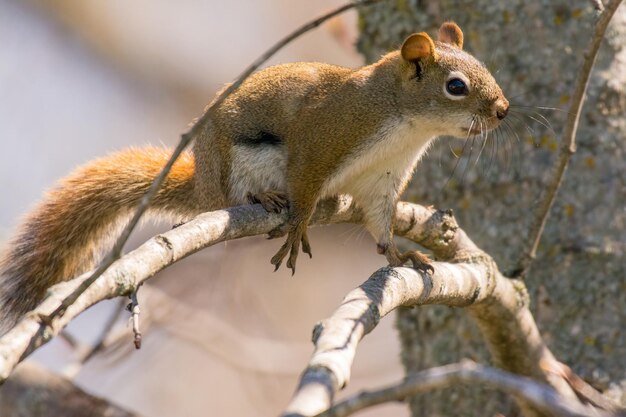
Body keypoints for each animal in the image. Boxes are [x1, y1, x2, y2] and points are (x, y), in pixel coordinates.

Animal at [0, 22, 504, 330]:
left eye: (486, 68)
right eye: (455, 86)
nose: (503, 109)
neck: (404, 124)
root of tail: (202, 182)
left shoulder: (382, 180)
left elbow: (380, 225)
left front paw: (401, 255)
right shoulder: (322, 139)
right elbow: (305, 182)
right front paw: (298, 224)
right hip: (233, 169)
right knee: (232, 199)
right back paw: (264, 200)